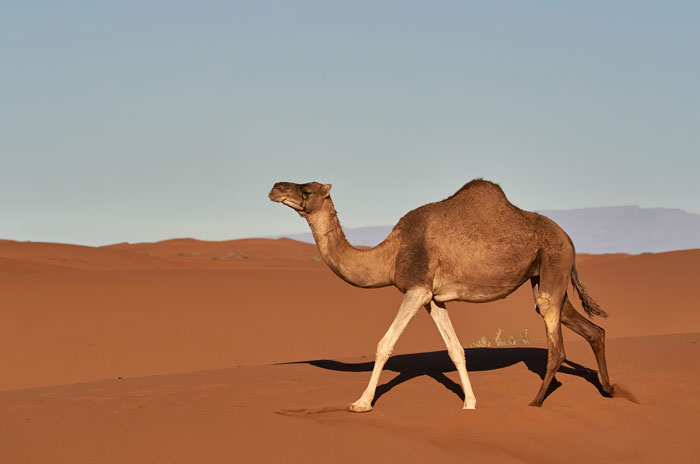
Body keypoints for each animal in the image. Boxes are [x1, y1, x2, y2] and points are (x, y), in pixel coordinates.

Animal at [268, 179, 613, 411]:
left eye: (307, 191)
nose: (275, 188)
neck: (390, 254)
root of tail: (568, 238)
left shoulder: (416, 288)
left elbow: (384, 344)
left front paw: (361, 403)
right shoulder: (433, 299)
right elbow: (456, 350)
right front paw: (470, 403)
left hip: (554, 263)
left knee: (555, 343)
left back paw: (536, 401)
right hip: (545, 275)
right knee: (592, 329)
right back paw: (609, 389)